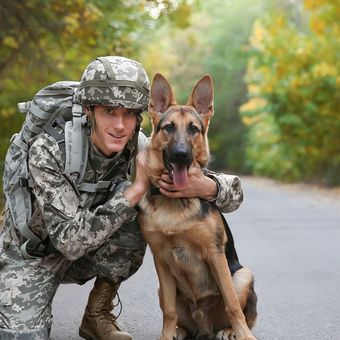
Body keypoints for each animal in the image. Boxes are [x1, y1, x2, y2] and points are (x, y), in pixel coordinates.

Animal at [137, 73, 256, 338]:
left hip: (243, 274)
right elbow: (169, 310)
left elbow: (232, 303)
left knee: (239, 311)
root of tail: (204, 326)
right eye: (169, 127)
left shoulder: (215, 253)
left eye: (193, 129)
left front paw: (245, 335)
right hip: (165, 290)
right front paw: (166, 335)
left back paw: (230, 331)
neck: (174, 202)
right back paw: (180, 331)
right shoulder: (160, 259)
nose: (181, 154)